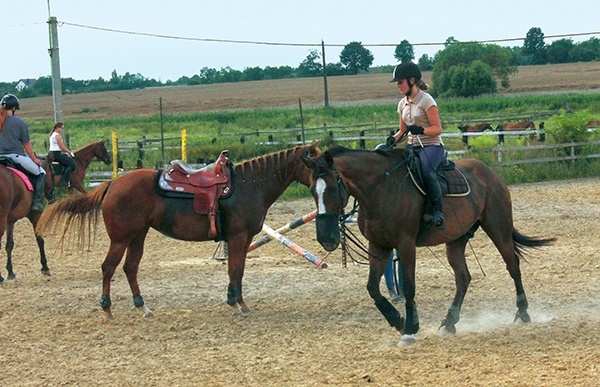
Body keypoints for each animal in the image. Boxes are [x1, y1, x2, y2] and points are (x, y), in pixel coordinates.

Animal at [36, 144, 318, 320]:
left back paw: (143, 307)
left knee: (130, 267)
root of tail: (112, 184)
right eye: (314, 164)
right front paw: (236, 304)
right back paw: (107, 309)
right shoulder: (238, 237)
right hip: (121, 238)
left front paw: (238, 301)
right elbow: (235, 269)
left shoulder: (245, 238)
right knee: (109, 268)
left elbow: (238, 270)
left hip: (138, 236)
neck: (248, 186)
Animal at [302, 146, 556, 346]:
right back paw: (450, 322)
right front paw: (398, 320)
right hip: (456, 239)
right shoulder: (378, 245)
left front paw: (410, 329)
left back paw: (522, 312)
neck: (381, 189)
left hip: (498, 228)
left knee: (513, 266)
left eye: (333, 188)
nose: (326, 238)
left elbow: (408, 287)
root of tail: (490, 172)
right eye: (312, 189)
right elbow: (373, 288)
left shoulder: (405, 244)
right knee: (463, 277)